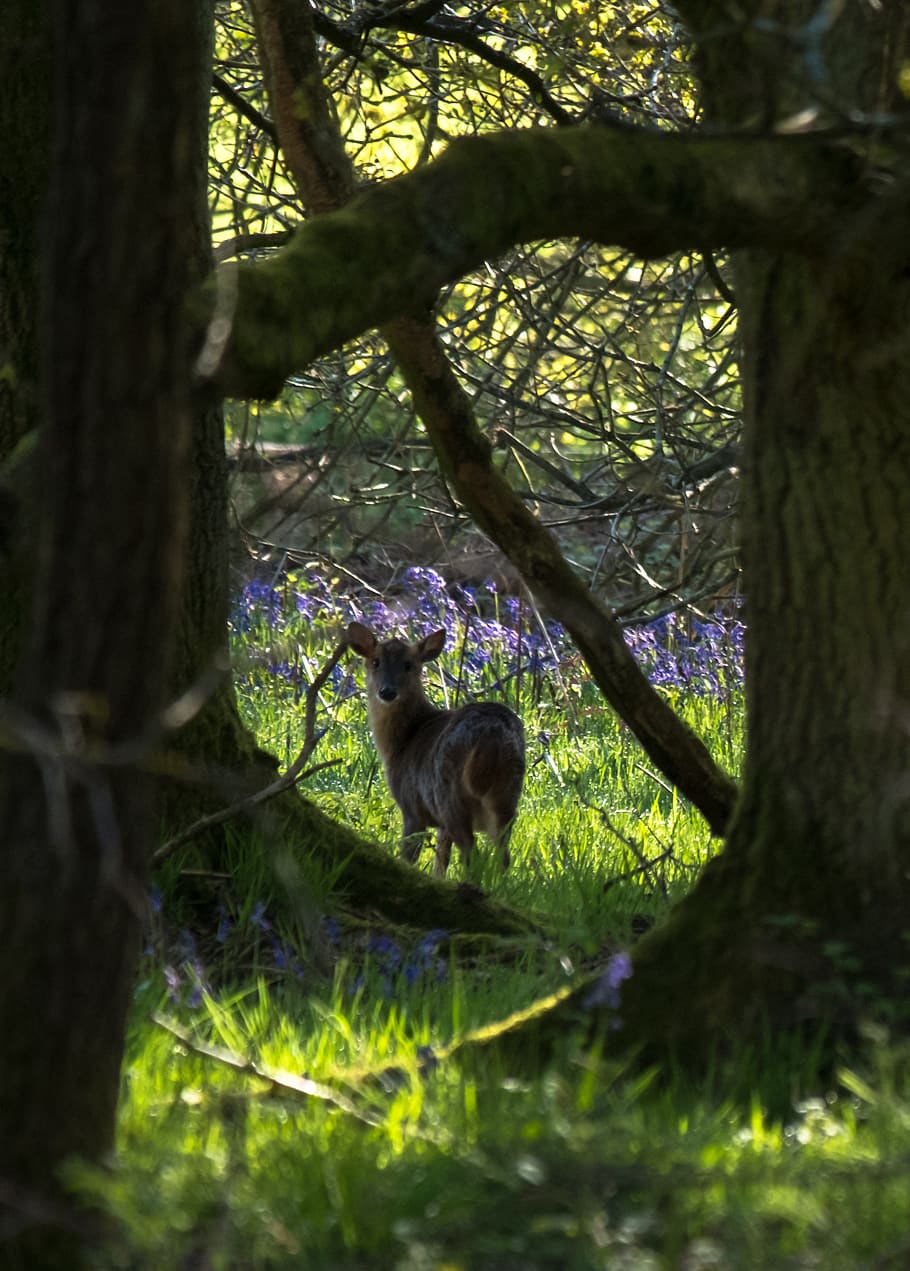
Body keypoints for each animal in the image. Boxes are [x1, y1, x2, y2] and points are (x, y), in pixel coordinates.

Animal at [346, 621, 526, 877]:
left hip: (449, 795)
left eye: (409, 665)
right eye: (375, 661)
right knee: (503, 855)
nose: (387, 692)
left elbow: (409, 856)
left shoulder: (411, 807)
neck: (403, 741)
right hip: (509, 792)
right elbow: (441, 859)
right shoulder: (440, 825)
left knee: (471, 855)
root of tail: (492, 734)